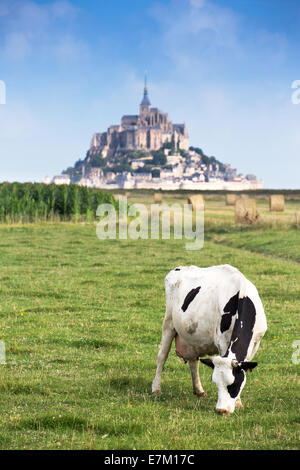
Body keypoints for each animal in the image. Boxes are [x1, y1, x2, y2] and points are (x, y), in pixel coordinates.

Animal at [152, 264, 268, 414]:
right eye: (216, 384)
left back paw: (199, 390)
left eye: (233, 384)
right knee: (162, 355)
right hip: (169, 322)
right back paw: (156, 388)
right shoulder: (222, 342)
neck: (241, 297)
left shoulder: (255, 343)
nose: (221, 410)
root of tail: (180, 268)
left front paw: (238, 402)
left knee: (193, 361)